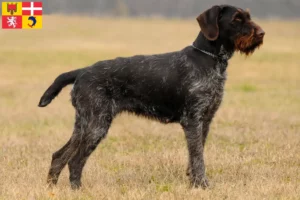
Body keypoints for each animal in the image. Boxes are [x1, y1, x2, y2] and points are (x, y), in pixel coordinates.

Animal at [38, 4, 264, 189]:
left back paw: (51, 189)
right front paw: (202, 185)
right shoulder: (192, 120)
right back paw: (77, 190)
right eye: (236, 19)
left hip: (84, 124)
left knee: (59, 156)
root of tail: (82, 71)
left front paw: (193, 183)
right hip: (97, 125)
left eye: (248, 16)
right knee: (75, 161)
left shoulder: (206, 120)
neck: (209, 59)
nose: (262, 33)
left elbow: (195, 155)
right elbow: (198, 157)